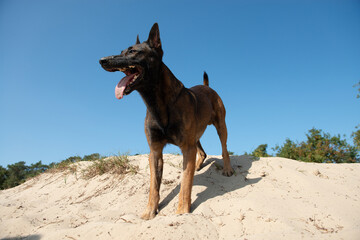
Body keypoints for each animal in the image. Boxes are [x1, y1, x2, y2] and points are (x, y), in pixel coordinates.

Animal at [99, 23, 233, 220]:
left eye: (133, 51)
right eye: (122, 51)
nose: (102, 60)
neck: (158, 103)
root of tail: (207, 87)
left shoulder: (186, 148)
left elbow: (185, 184)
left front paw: (182, 212)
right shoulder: (155, 151)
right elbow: (154, 186)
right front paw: (149, 211)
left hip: (221, 126)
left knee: (224, 148)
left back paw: (227, 168)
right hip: (195, 136)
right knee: (202, 152)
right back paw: (199, 165)